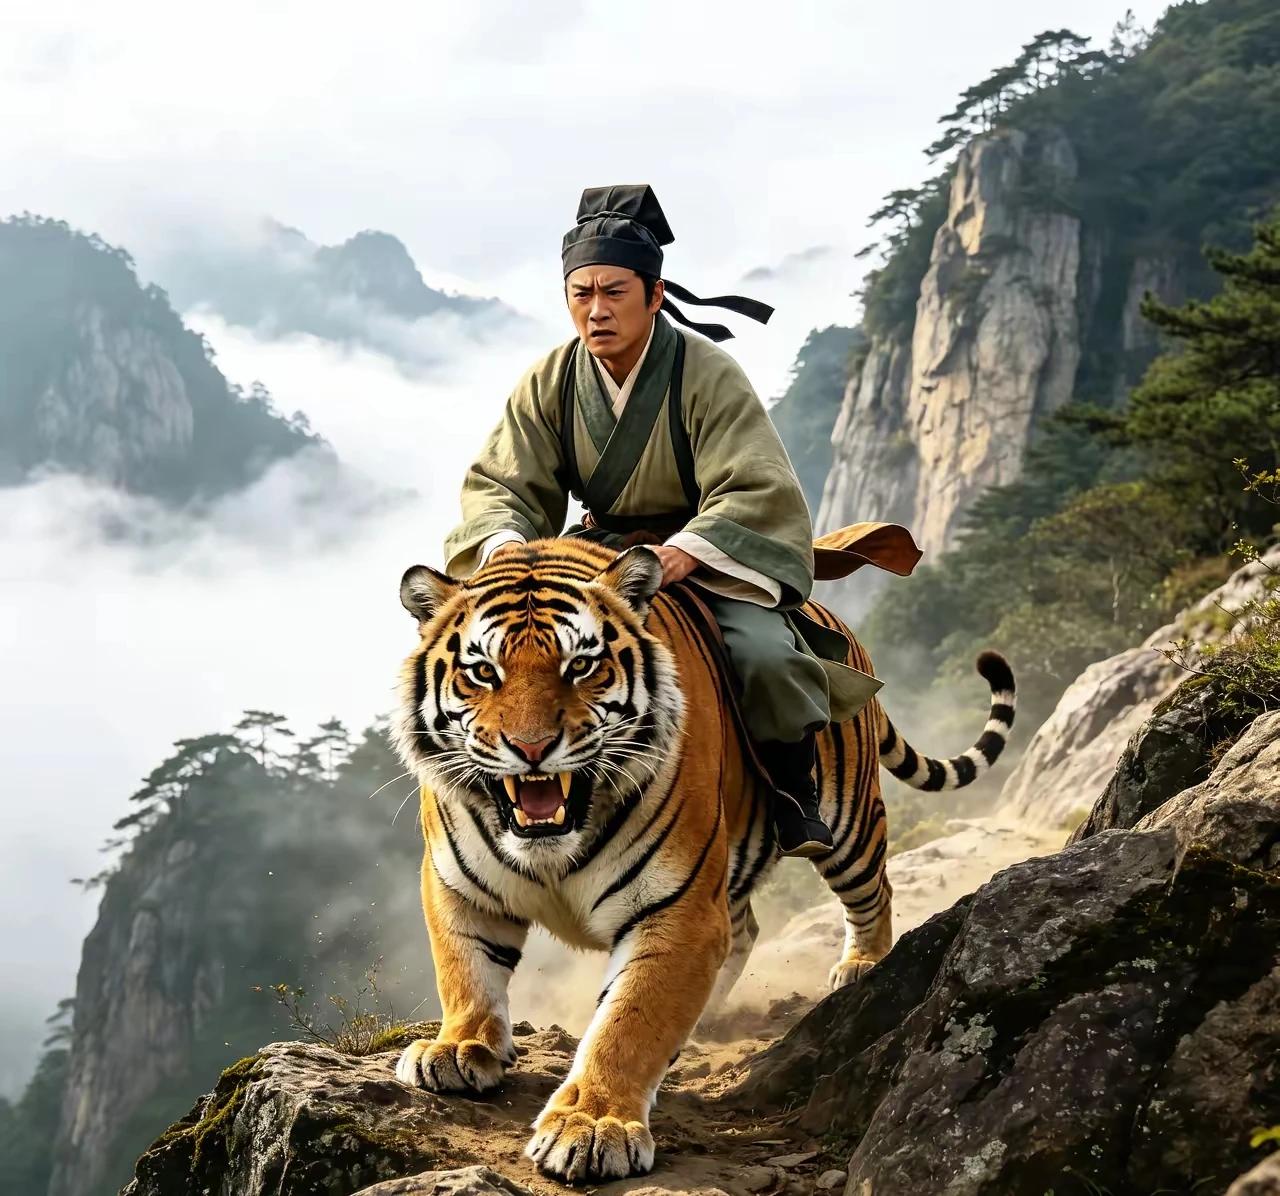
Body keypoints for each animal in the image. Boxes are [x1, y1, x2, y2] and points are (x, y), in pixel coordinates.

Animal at [390, 537, 1015, 1183]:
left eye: (581, 666)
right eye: (483, 672)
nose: (531, 748)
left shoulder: (678, 909)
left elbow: (629, 1020)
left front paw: (592, 1125)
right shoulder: (457, 887)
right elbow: (466, 973)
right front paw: (457, 1048)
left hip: (848, 823)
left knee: (873, 891)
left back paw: (860, 965)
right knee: (746, 928)